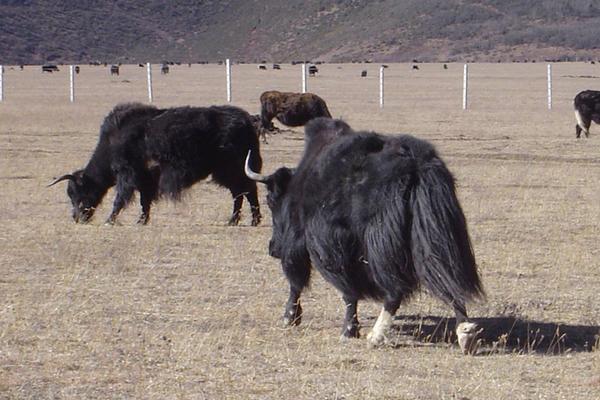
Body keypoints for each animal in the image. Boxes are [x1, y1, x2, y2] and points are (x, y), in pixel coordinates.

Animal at [52, 103, 264, 227]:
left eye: (78, 191)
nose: (77, 218)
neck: (112, 142)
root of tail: (247, 121)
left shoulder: (128, 175)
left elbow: (120, 198)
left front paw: (110, 220)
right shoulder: (146, 179)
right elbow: (144, 201)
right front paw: (141, 221)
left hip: (232, 169)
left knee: (246, 191)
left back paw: (249, 220)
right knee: (241, 192)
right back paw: (236, 221)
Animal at [246, 116, 486, 354]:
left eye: (270, 199)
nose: (273, 248)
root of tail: (415, 164)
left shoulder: (322, 245)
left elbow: (319, 284)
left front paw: (336, 327)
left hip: (382, 243)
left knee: (395, 290)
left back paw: (375, 336)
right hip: (437, 232)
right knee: (447, 276)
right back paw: (467, 334)